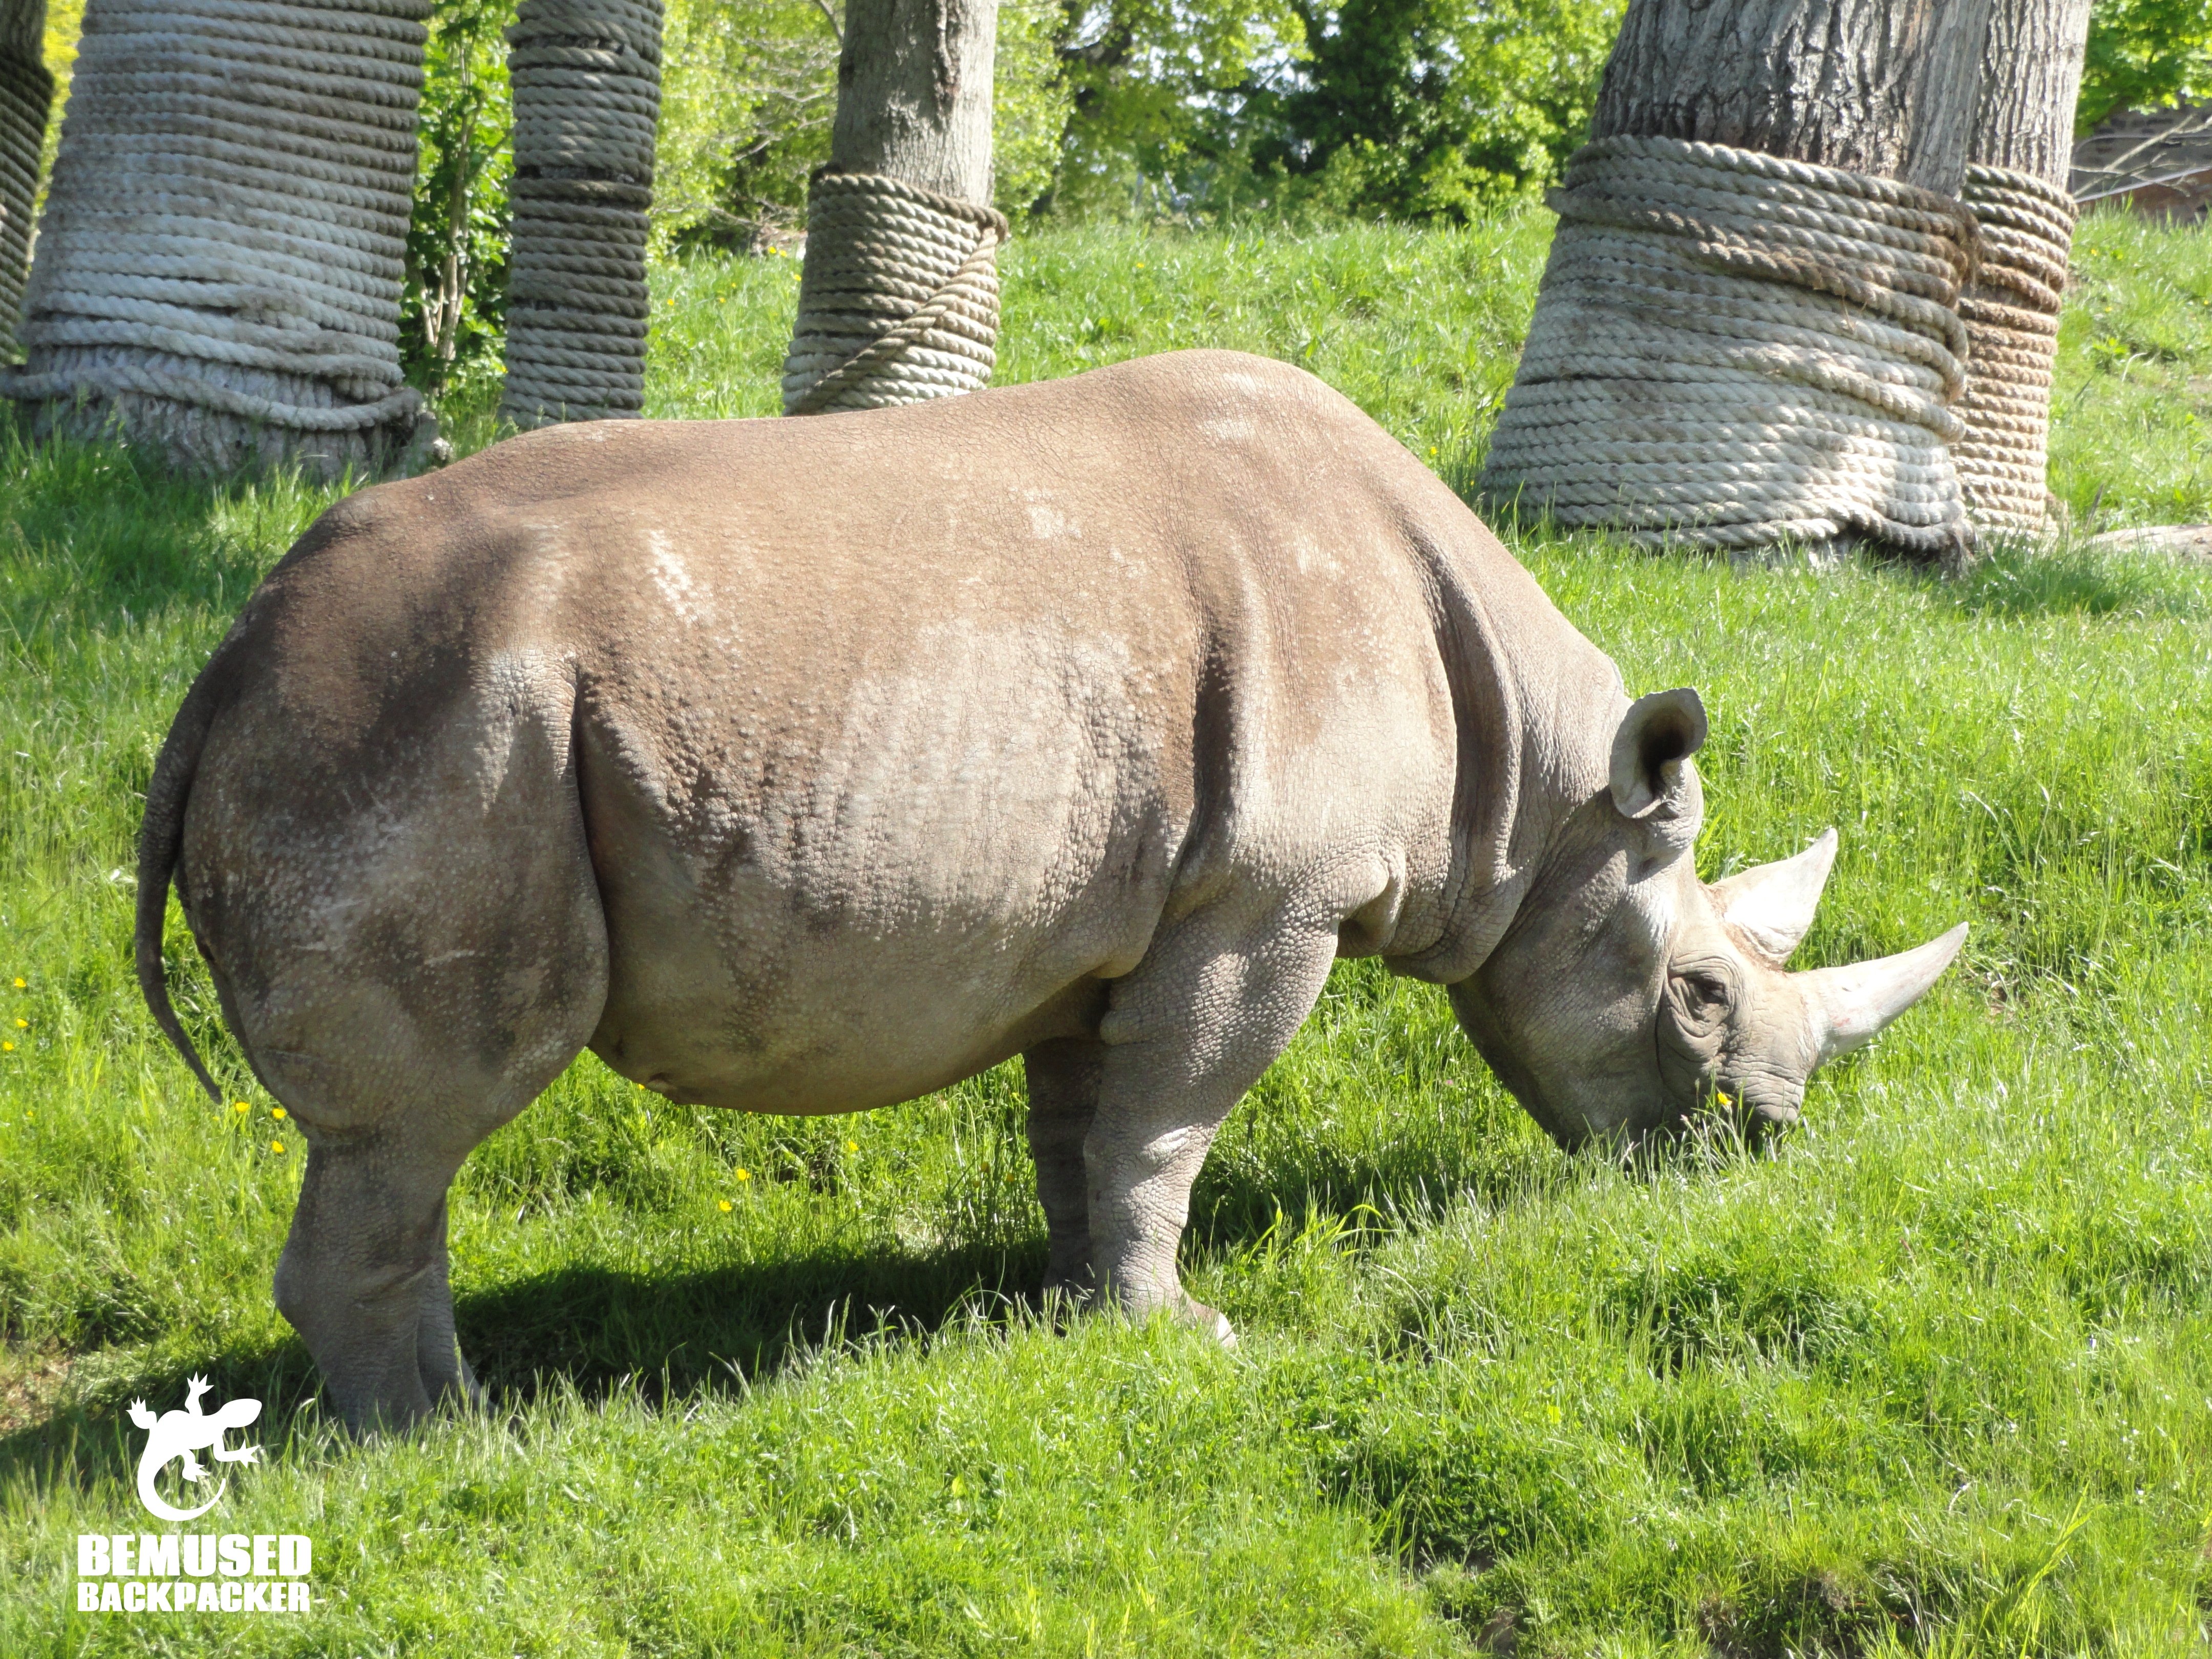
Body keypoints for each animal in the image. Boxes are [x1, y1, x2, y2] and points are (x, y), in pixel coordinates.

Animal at [136, 350, 1965, 1430]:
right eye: (1699, 998)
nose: (1763, 1143)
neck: (1540, 792)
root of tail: (224, 662)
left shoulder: (1133, 908)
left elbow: (1095, 1127)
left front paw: (1082, 1307)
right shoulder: (1267, 901)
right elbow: (1178, 1118)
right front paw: (1187, 1338)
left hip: (388, 712)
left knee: (400, 1138)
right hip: (426, 720)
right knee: (418, 1122)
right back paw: (448, 1444)